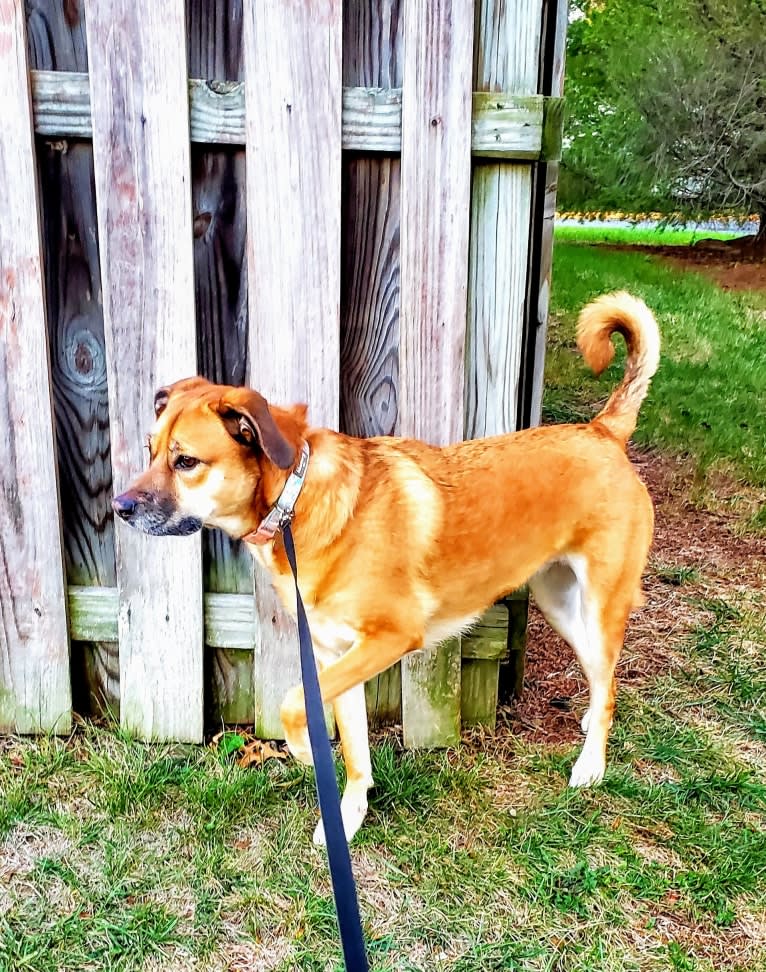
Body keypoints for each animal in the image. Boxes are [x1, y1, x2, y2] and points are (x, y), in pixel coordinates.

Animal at [112, 290, 660, 844]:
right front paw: (349, 813)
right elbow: (354, 748)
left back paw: (591, 764)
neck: (296, 501)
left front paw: (306, 752)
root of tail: (602, 431)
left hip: (600, 606)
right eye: (151, 451)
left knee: (609, 682)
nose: (119, 507)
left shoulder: (389, 638)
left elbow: (293, 703)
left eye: (186, 462)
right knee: (603, 679)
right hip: (559, 602)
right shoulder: (335, 654)